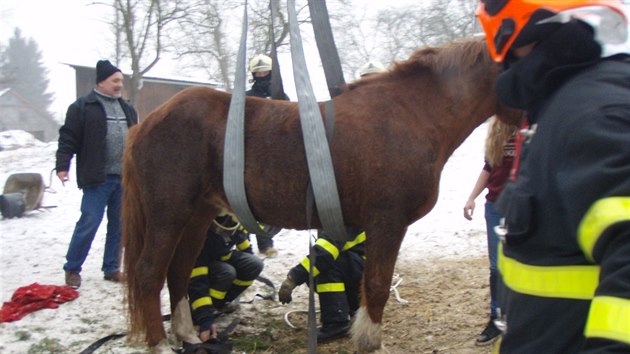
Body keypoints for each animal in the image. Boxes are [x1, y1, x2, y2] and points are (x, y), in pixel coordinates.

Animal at [122, 37, 520, 352]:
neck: (409, 116)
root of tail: (147, 122)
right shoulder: (388, 221)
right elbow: (377, 286)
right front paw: (370, 342)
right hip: (169, 212)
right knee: (148, 273)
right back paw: (160, 345)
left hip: (197, 215)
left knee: (179, 270)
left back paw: (188, 336)